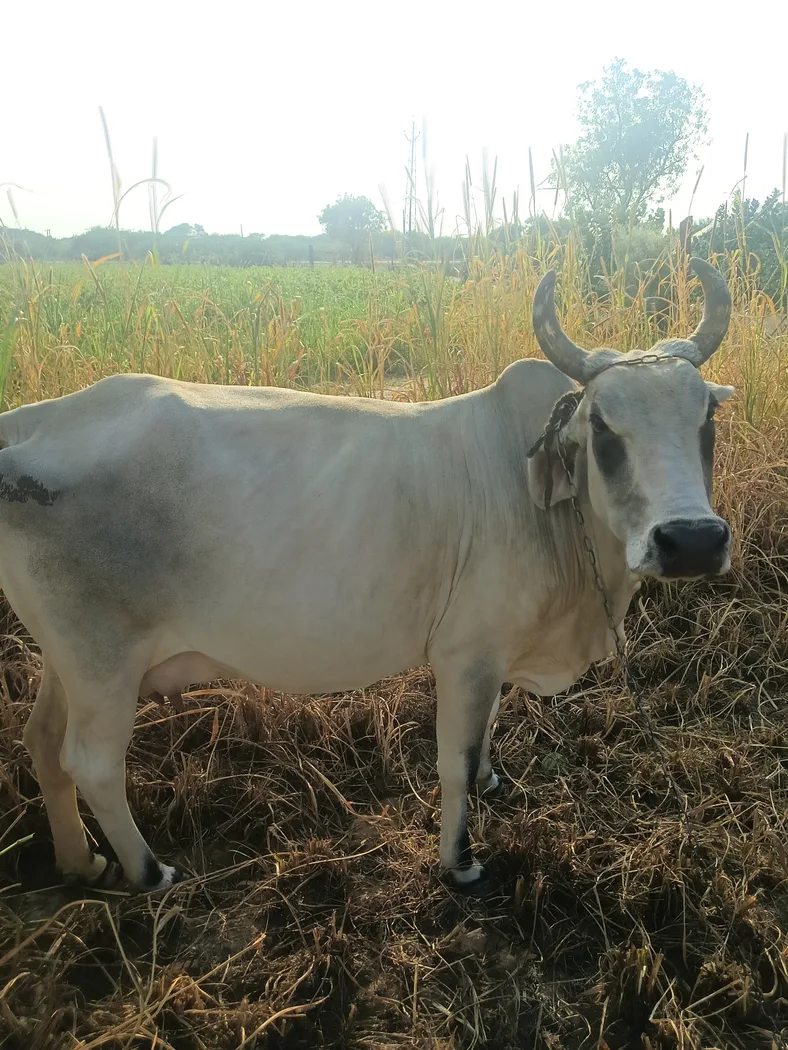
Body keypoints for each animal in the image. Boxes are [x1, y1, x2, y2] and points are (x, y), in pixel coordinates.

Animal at [0, 259, 733, 896]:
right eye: (603, 424)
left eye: (707, 416)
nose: (692, 540)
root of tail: (30, 423)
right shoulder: (467, 654)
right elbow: (454, 762)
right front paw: (460, 863)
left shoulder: (494, 655)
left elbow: (487, 736)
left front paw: (492, 780)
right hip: (103, 661)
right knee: (92, 763)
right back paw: (148, 871)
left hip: (71, 661)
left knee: (43, 744)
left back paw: (82, 861)